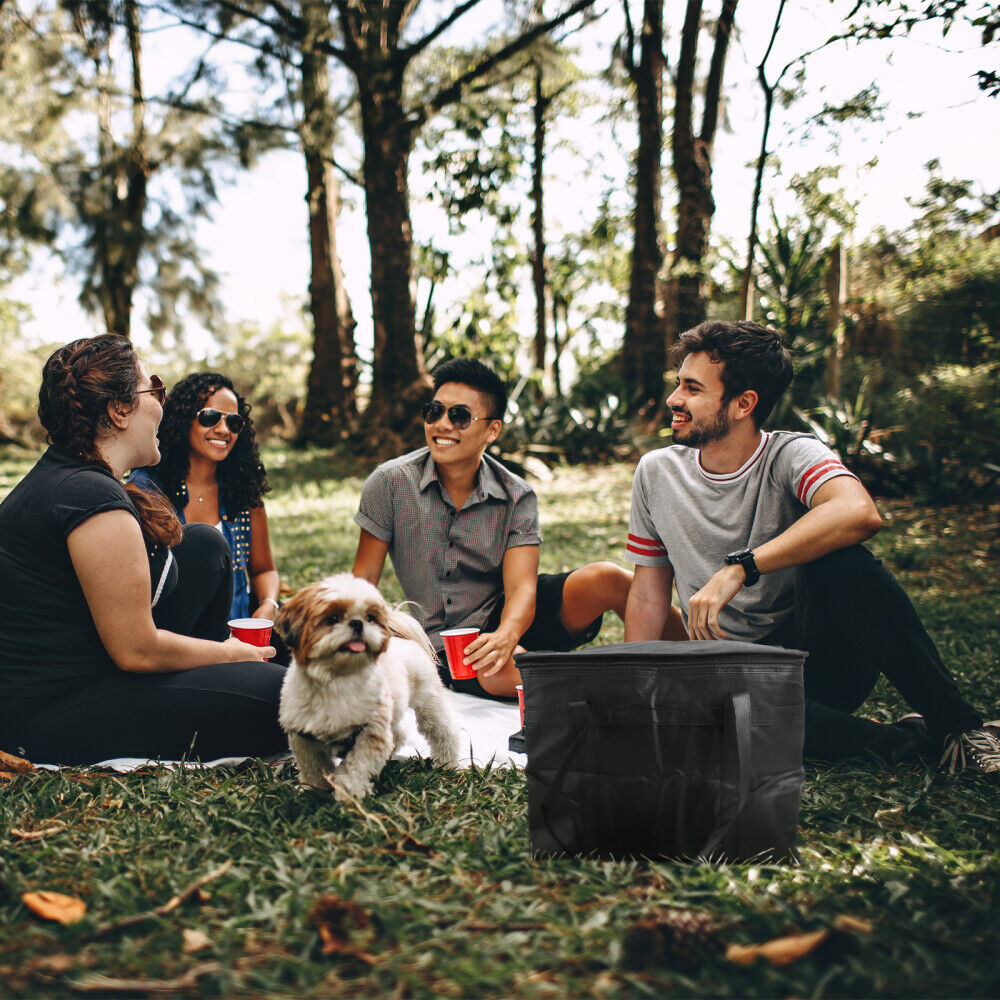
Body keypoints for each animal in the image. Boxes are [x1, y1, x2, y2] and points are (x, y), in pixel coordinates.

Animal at [276, 576, 458, 800]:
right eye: (333, 618)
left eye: (370, 618)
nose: (357, 623)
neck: (336, 680)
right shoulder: (304, 737)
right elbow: (313, 766)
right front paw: (312, 789)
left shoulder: (370, 734)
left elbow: (356, 767)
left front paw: (349, 793)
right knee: (398, 734)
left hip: (428, 702)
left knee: (444, 732)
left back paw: (448, 763)